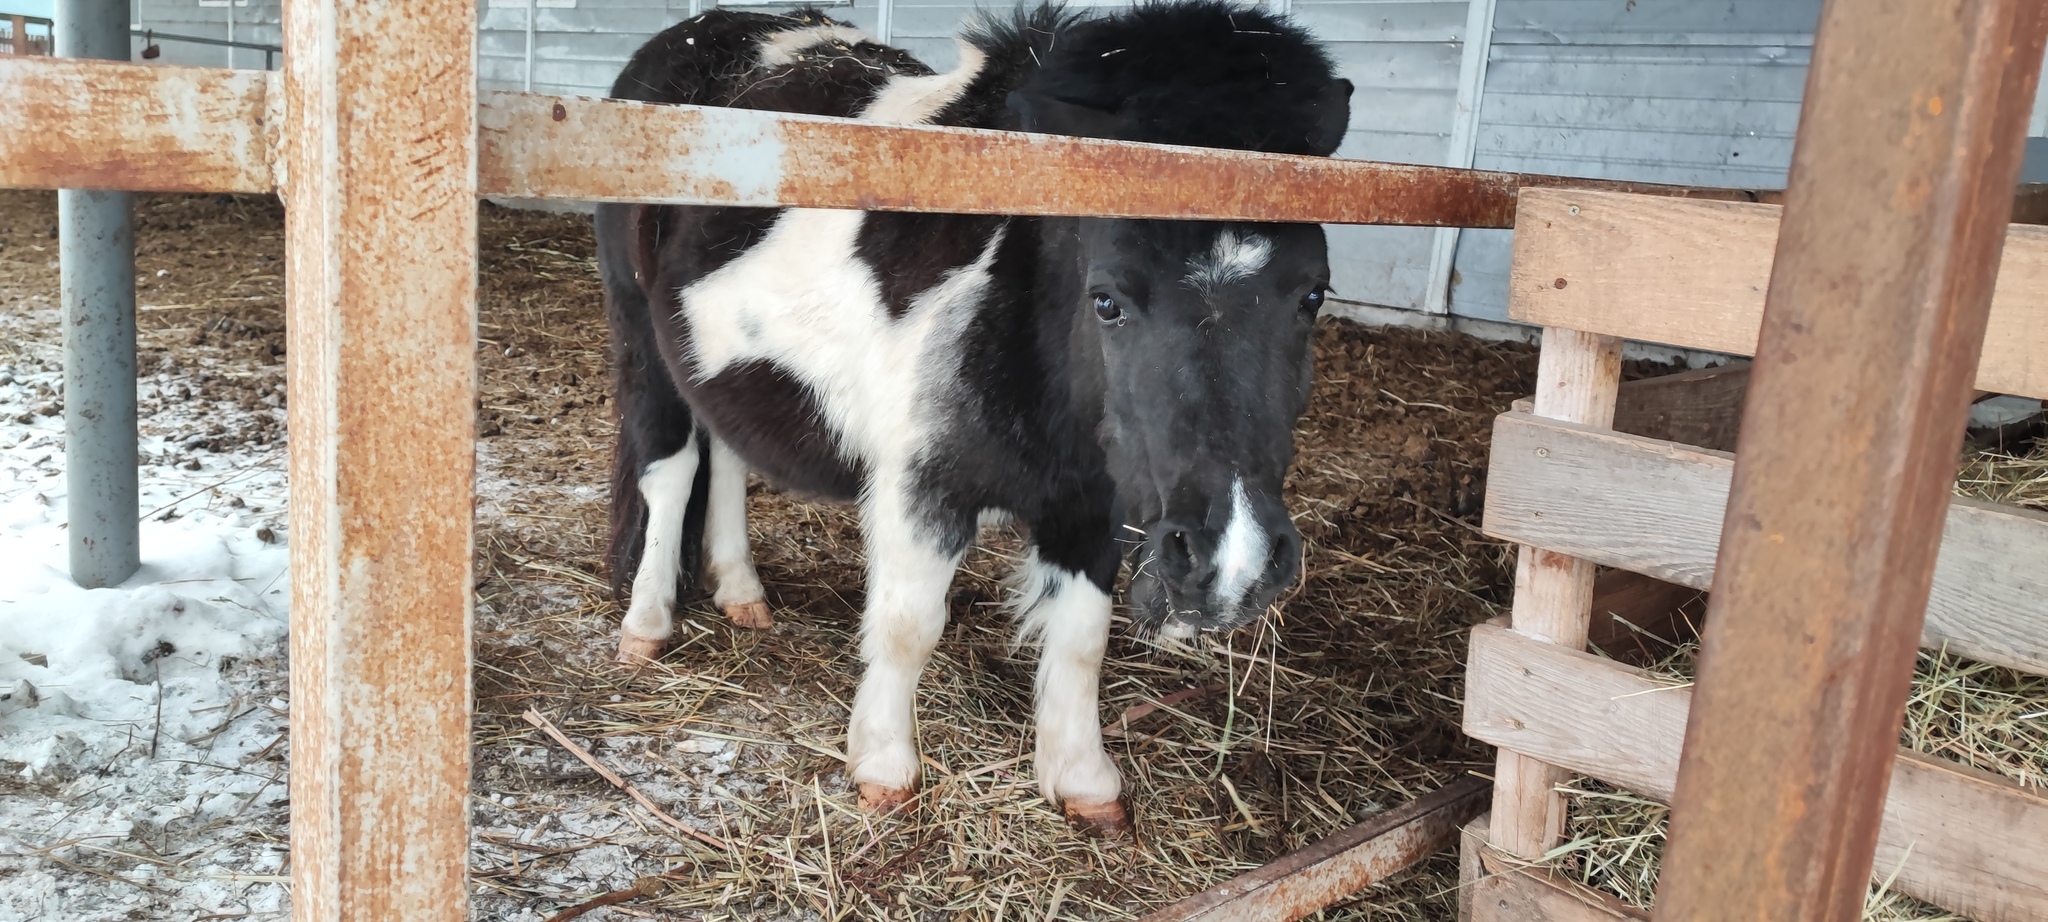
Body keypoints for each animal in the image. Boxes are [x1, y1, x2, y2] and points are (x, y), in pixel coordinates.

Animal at [598, 0, 1351, 835]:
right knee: (669, 474)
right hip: (642, 340)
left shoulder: (1092, 504)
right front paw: (884, 769)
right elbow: (909, 626)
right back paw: (648, 625)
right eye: (1108, 298)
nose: (1232, 567)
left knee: (727, 454)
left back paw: (741, 593)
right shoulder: (921, 488)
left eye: (1311, 294)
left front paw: (1083, 779)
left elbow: (1082, 638)